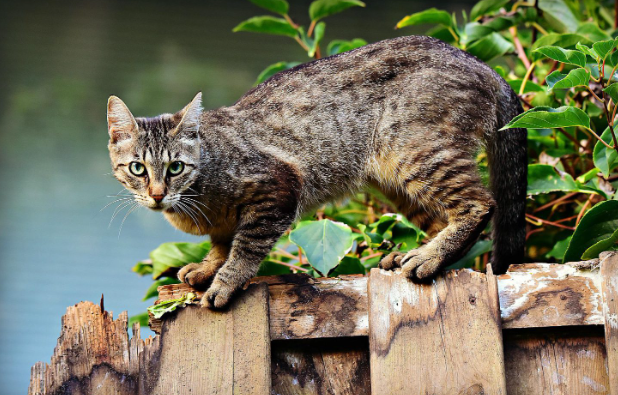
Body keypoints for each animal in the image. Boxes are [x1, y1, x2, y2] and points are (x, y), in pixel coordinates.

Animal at [106, 35, 524, 310]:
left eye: (175, 167)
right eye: (138, 169)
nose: (157, 194)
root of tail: (483, 65)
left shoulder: (277, 189)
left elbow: (245, 247)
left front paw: (225, 281)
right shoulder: (224, 223)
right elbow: (221, 244)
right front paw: (208, 267)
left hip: (415, 152)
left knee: (480, 204)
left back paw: (429, 258)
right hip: (393, 180)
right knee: (440, 218)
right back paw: (414, 253)